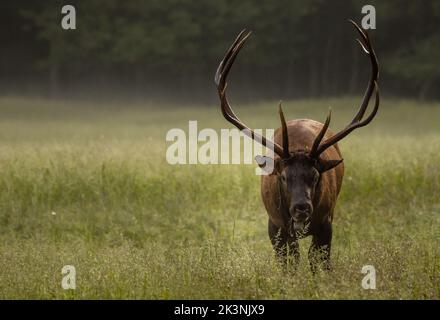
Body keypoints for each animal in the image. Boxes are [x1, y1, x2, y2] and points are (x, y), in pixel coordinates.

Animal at [215, 19, 380, 270]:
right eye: (283, 177)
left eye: (316, 175)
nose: (301, 208)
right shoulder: (275, 225)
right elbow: (288, 264)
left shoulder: (326, 222)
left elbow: (319, 261)